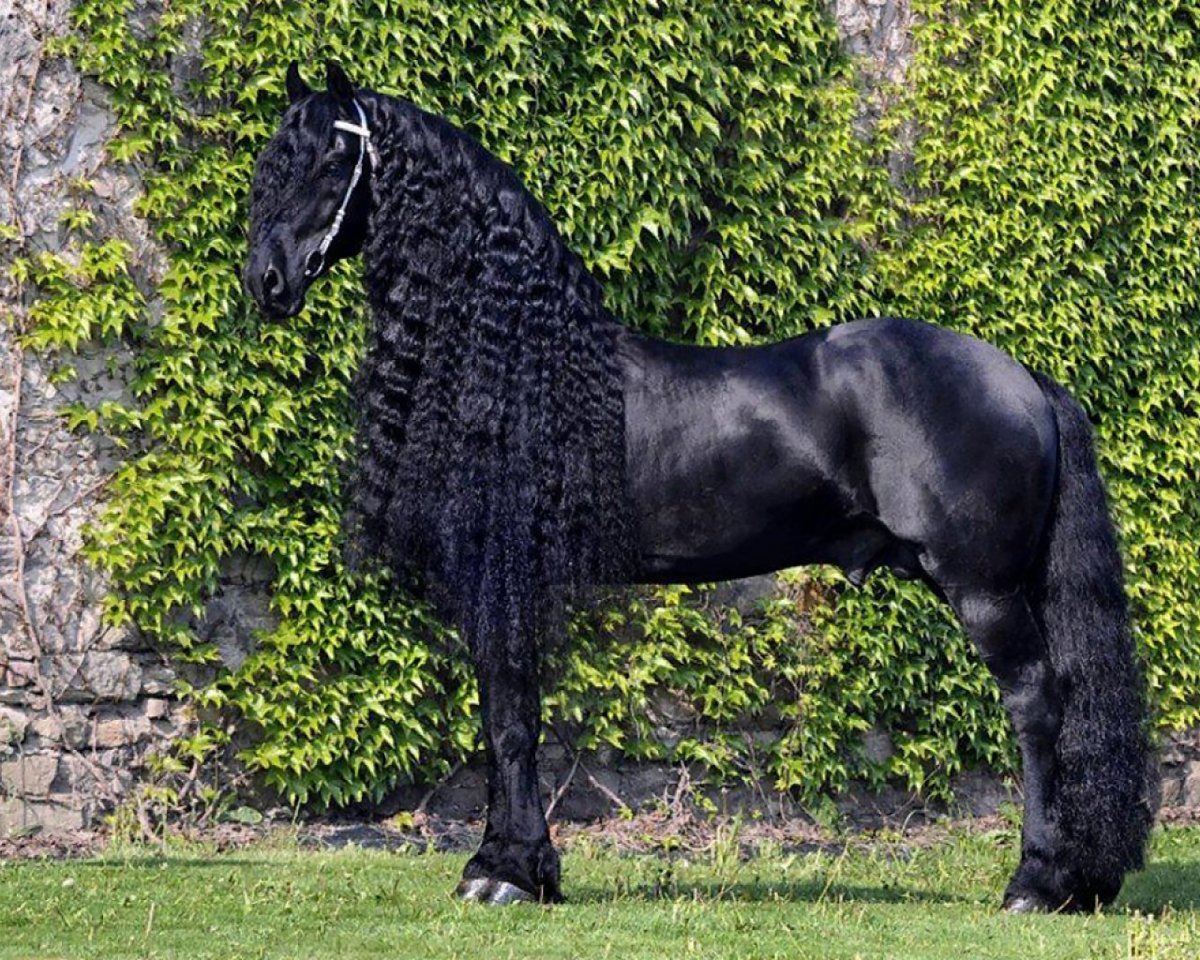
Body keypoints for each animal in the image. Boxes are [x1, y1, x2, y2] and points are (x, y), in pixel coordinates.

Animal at [244, 62, 1156, 912]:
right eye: (271, 161)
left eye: (335, 157)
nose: (267, 282)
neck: (523, 364)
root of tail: (1025, 378)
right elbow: (506, 715)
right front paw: (509, 865)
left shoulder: (503, 579)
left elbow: (510, 720)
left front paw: (506, 872)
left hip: (983, 589)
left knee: (1036, 708)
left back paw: (1036, 881)